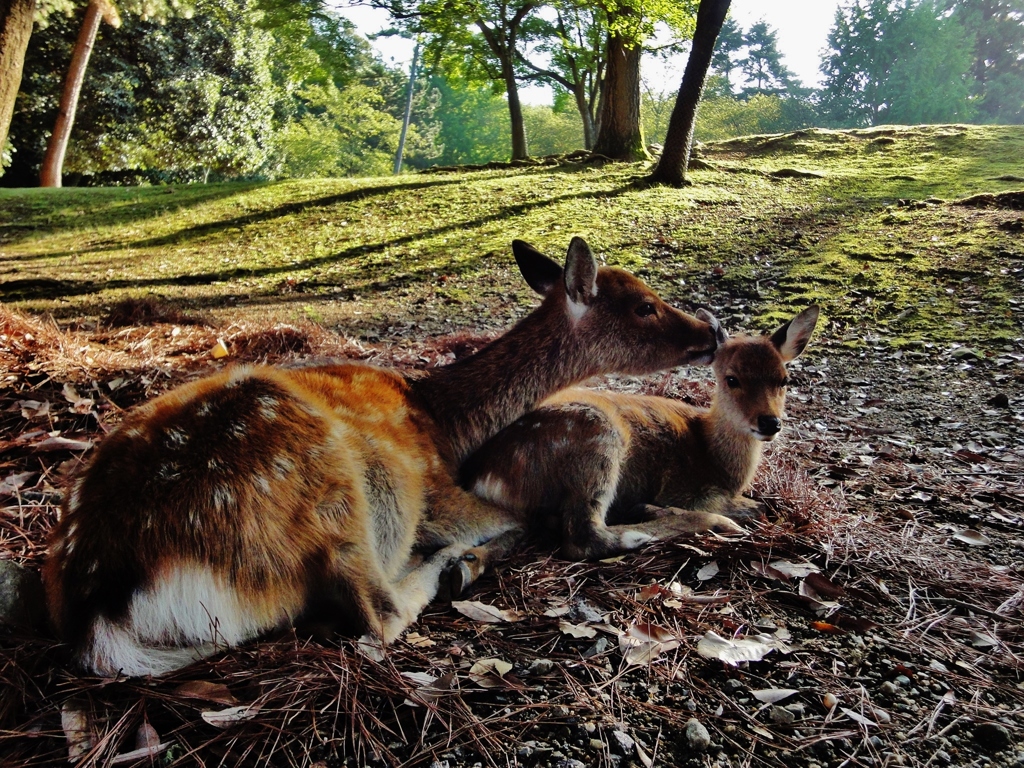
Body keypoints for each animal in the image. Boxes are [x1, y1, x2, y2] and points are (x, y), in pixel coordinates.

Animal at [46, 237, 720, 675]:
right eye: (644, 304)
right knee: (380, 614)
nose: (712, 331)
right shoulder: (440, 490)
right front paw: (467, 559)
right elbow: (520, 522)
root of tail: (105, 610)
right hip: (329, 494)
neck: (443, 422)